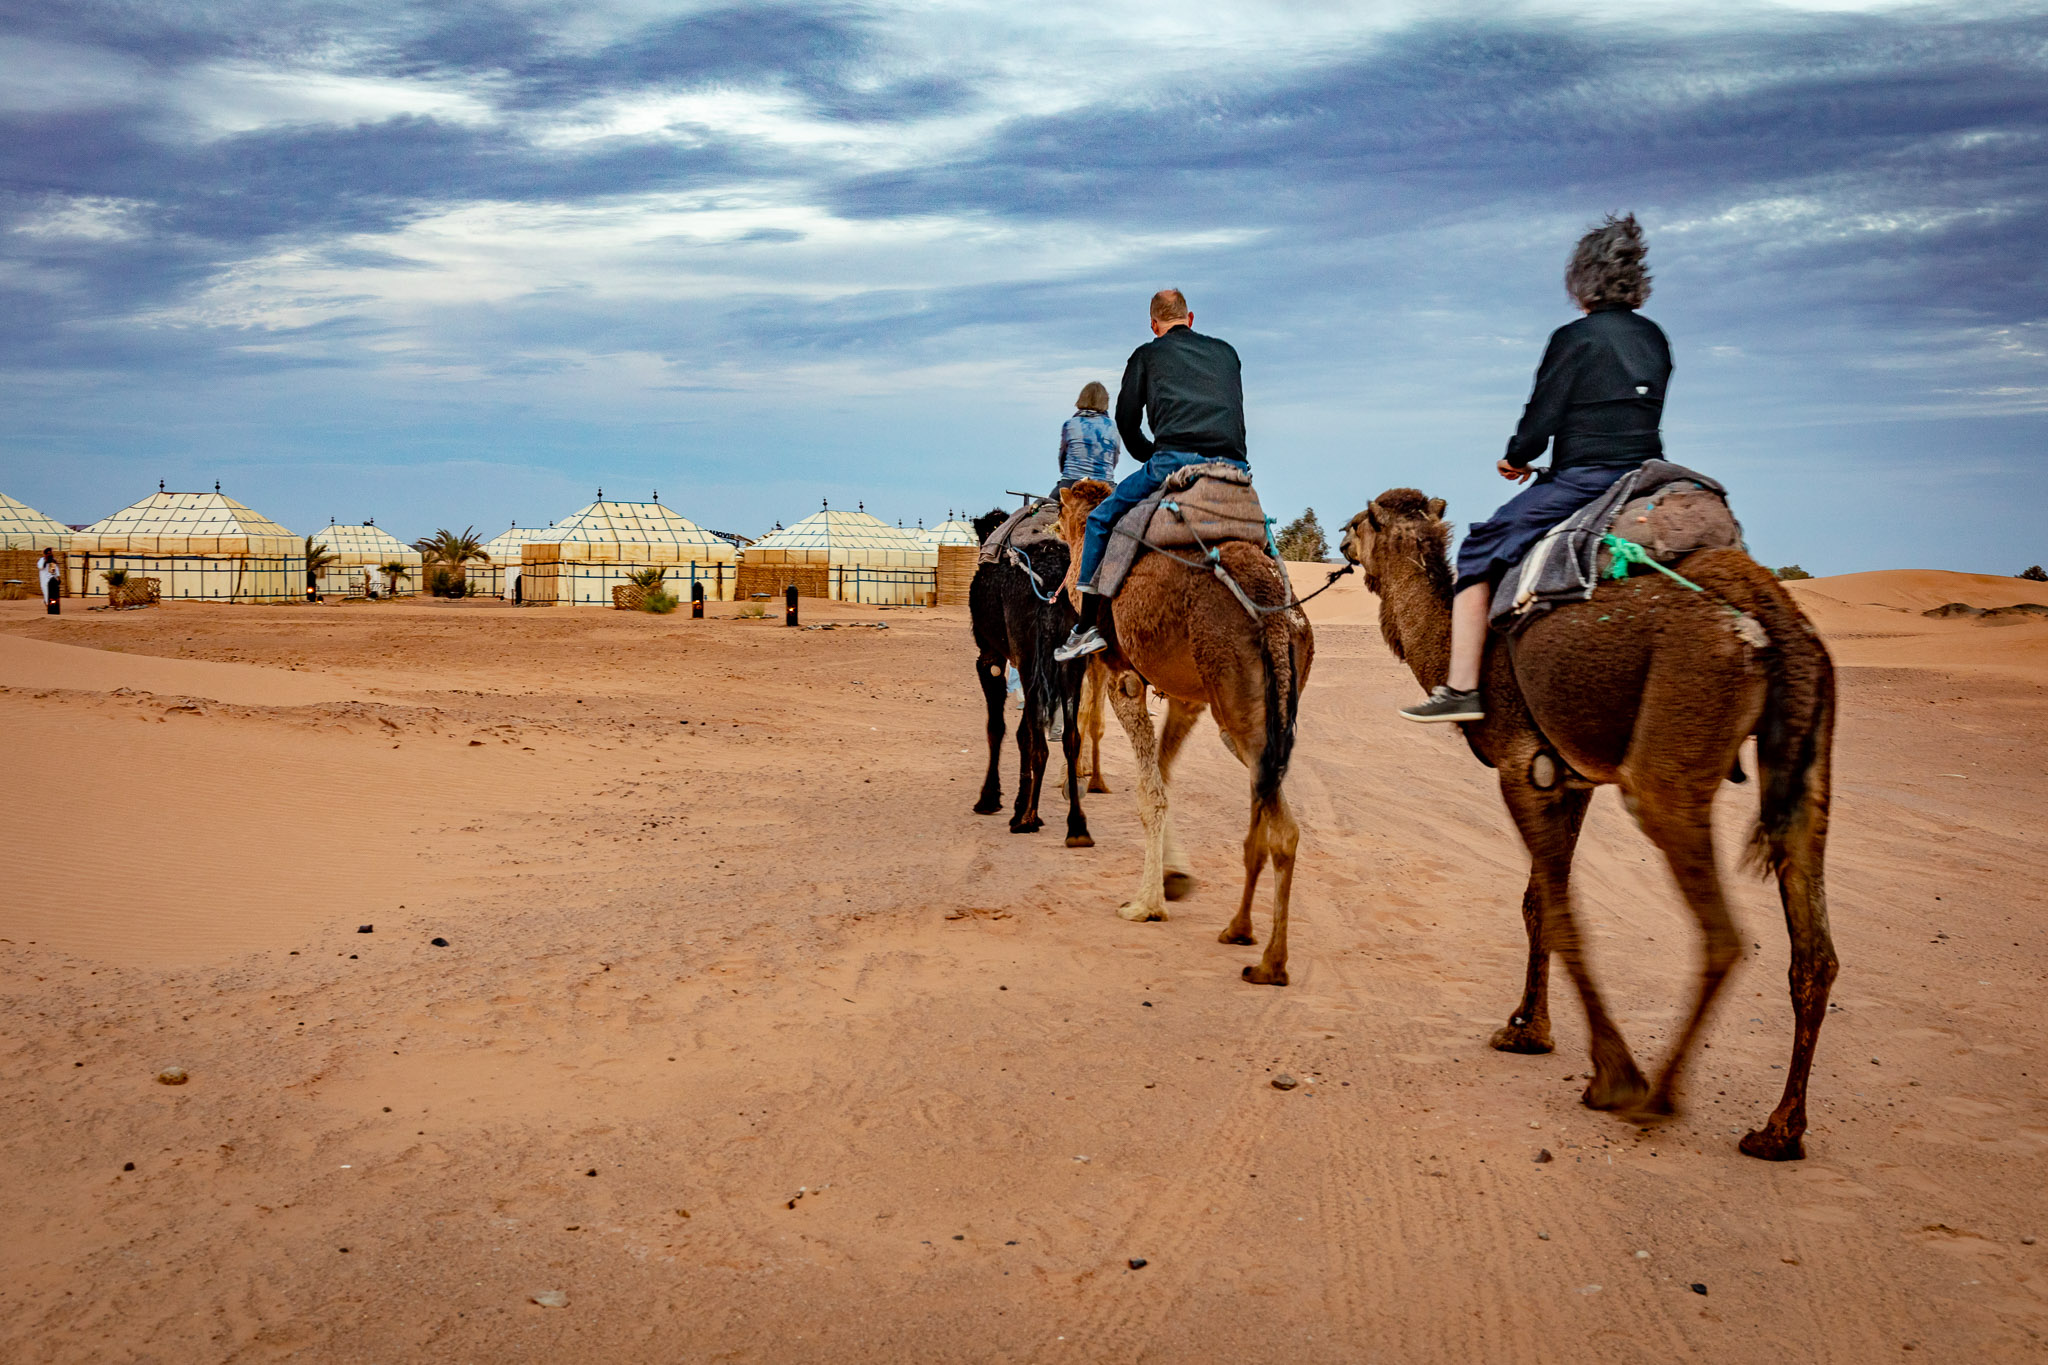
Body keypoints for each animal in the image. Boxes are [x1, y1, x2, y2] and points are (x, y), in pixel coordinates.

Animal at [1056, 480, 1310, 982]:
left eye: (1058, 511)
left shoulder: (1125, 677)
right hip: (1263, 711)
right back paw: (1246, 936)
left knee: (1277, 819)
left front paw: (1146, 904)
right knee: (1279, 820)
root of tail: (1272, 614)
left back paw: (1268, 959)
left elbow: (1150, 791)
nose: (1049, 526)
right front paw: (1174, 878)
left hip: (1233, 693)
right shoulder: (1187, 697)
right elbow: (1164, 777)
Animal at [1343, 491, 1843, 1162]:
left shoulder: (1519, 764)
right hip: (1808, 758)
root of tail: (1772, 609)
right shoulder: (1569, 780)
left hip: (1674, 746)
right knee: (1815, 952)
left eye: (1359, 522)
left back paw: (1655, 1095)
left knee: (1722, 932)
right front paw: (1527, 1029)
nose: (1340, 542)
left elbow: (1558, 910)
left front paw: (1609, 1075)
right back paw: (1779, 1130)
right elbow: (1538, 901)